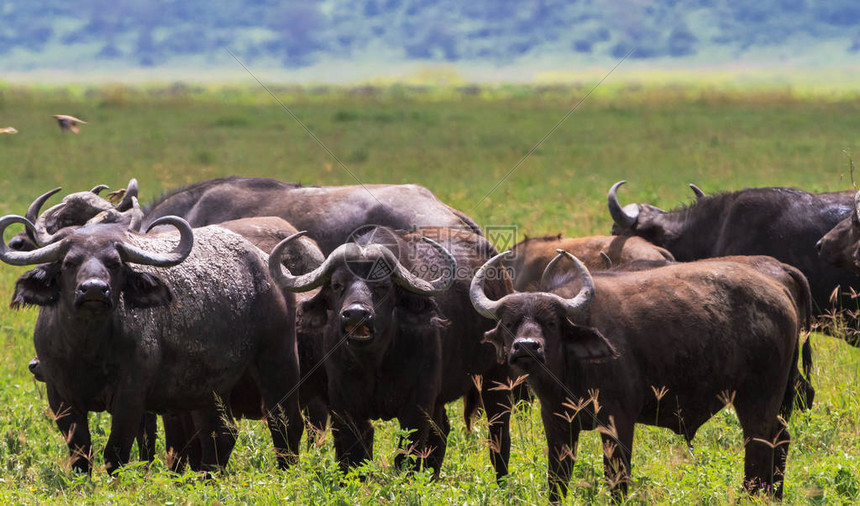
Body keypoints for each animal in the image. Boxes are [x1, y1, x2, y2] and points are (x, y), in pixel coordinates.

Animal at [0, 215, 302, 472]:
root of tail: (268, 268)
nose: (94, 289)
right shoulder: (60, 397)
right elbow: (80, 453)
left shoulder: (131, 397)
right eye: (69, 262)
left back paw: (287, 473)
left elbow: (116, 451)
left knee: (285, 425)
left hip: (278, 362)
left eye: (114, 263)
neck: (86, 350)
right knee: (220, 435)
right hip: (210, 389)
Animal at [268, 227, 512, 480]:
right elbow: (355, 457)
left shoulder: (417, 406)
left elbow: (407, 458)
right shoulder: (344, 406)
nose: (356, 314)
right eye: (337, 285)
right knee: (441, 432)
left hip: (497, 378)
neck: (375, 363)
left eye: (382, 286)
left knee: (498, 434)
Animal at [470, 251, 808, 500]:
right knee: (781, 438)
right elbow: (557, 479)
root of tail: (776, 286)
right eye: (510, 322)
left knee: (759, 448)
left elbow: (617, 479)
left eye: (551, 322)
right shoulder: (556, 422)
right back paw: (775, 495)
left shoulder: (618, 422)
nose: (527, 347)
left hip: (757, 399)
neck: (569, 372)